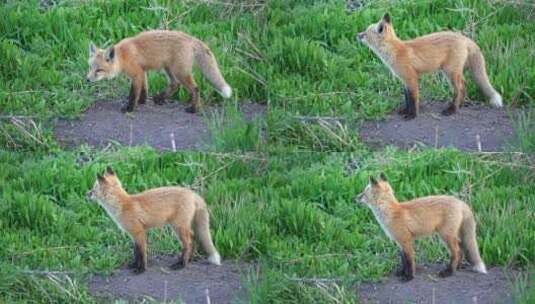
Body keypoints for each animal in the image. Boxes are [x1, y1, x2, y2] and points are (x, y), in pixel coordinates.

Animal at [86, 30, 232, 113]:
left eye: (99, 70)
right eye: (90, 67)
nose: (87, 79)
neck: (123, 56)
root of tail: (190, 38)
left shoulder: (136, 74)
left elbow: (133, 93)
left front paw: (130, 108)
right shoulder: (142, 72)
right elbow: (144, 89)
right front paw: (142, 101)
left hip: (180, 72)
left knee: (195, 88)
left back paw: (193, 108)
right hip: (169, 69)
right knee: (175, 85)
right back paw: (160, 98)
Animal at [87, 166, 221, 274]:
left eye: (94, 188)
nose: (86, 194)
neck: (123, 205)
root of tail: (193, 194)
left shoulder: (139, 232)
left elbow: (142, 253)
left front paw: (141, 269)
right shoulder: (134, 235)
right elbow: (136, 253)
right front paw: (134, 265)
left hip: (178, 227)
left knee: (188, 243)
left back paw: (182, 264)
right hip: (181, 227)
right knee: (193, 238)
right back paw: (189, 259)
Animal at [356, 13, 502, 119]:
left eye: (365, 33)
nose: (357, 35)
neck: (396, 51)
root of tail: (465, 38)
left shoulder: (411, 78)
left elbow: (413, 99)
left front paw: (412, 115)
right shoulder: (404, 80)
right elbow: (407, 98)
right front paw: (405, 110)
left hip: (450, 72)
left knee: (460, 88)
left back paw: (452, 109)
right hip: (452, 72)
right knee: (464, 85)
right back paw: (459, 105)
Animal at [358, 172, 488, 282]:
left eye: (364, 192)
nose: (356, 197)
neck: (392, 213)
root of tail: (460, 202)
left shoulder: (406, 241)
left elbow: (409, 260)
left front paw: (409, 276)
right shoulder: (400, 243)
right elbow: (403, 260)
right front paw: (402, 272)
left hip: (445, 236)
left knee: (456, 252)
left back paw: (449, 272)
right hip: (451, 235)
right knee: (461, 249)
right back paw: (457, 267)